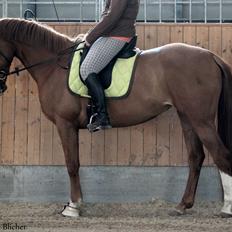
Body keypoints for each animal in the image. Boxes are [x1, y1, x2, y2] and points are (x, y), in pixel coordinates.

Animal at [0, 19, 232, 217]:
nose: (1, 86)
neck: (55, 65)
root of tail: (211, 56)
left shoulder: (65, 123)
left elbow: (72, 164)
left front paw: (73, 207)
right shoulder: (69, 125)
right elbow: (74, 163)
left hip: (201, 120)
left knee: (221, 155)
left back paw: (226, 209)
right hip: (187, 117)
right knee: (196, 157)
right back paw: (182, 206)